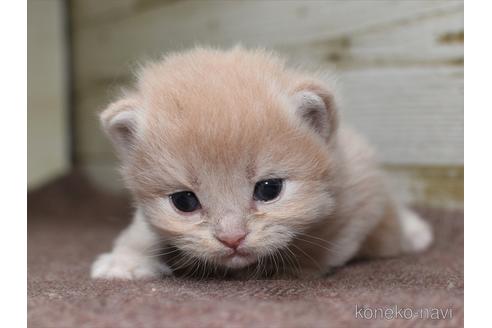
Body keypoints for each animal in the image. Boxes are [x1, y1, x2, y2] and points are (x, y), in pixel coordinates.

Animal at [90, 47, 432, 280]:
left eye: (269, 189)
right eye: (184, 201)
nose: (232, 238)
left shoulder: (360, 189)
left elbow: (323, 246)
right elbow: (143, 228)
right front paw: (126, 260)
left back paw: (414, 233)